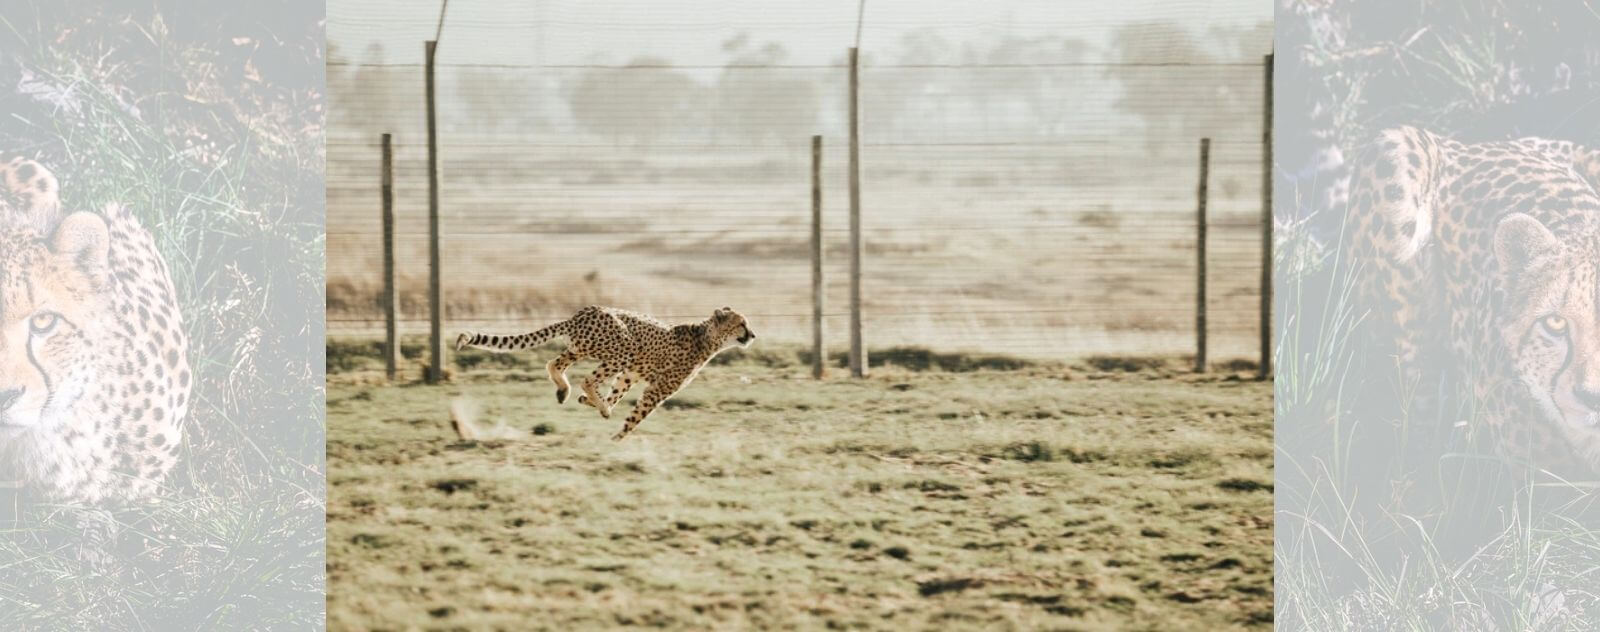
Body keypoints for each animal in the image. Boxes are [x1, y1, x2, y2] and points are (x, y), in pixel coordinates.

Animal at [451, 307, 748, 441]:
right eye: (742, 324)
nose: (753, 335)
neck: (706, 337)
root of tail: (582, 313)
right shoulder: (657, 388)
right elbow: (637, 415)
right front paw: (617, 435)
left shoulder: (631, 373)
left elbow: (618, 393)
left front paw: (596, 405)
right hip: (623, 347)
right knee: (586, 378)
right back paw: (593, 401)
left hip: (582, 349)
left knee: (554, 364)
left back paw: (566, 392)